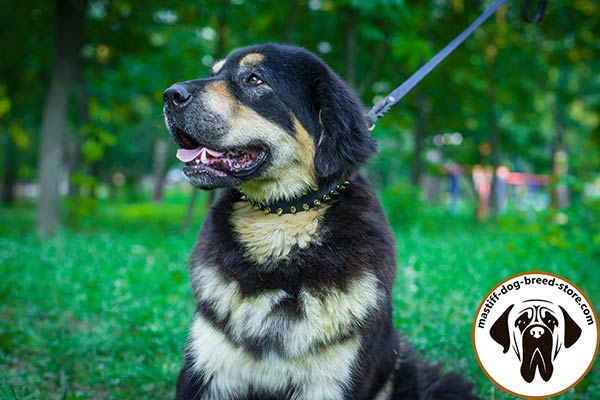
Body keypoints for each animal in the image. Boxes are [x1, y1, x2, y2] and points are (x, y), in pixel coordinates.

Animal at [161, 43, 478, 400]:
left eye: (254, 79)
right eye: (214, 73)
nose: (170, 94)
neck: (282, 221)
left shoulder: (331, 382)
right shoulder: (207, 370)